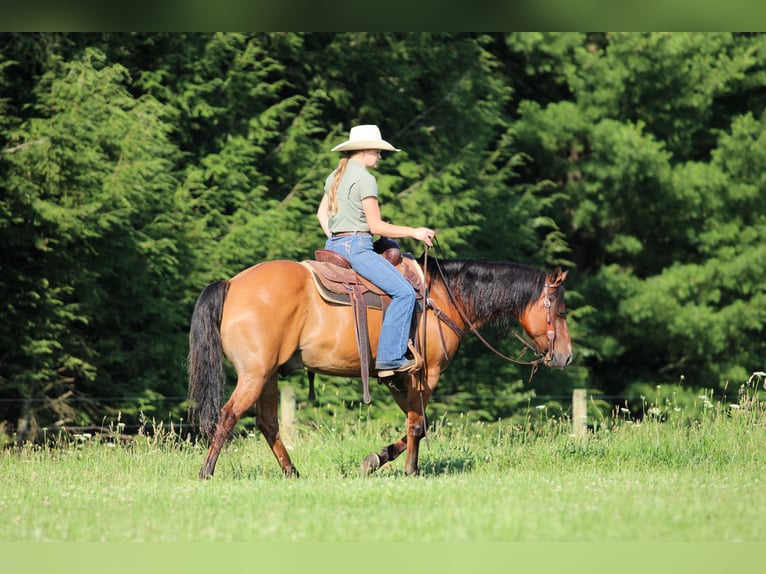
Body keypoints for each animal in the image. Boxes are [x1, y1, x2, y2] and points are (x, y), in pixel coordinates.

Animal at [187, 253, 572, 479]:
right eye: (560, 311)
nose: (566, 356)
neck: (443, 298)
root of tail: (232, 284)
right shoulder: (425, 374)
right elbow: (418, 424)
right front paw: (410, 470)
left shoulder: (396, 379)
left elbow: (417, 423)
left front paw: (377, 458)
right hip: (254, 375)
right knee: (228, 415)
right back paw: (206, 472)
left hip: (266, 376)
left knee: (267, 424)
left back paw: (292, 473)